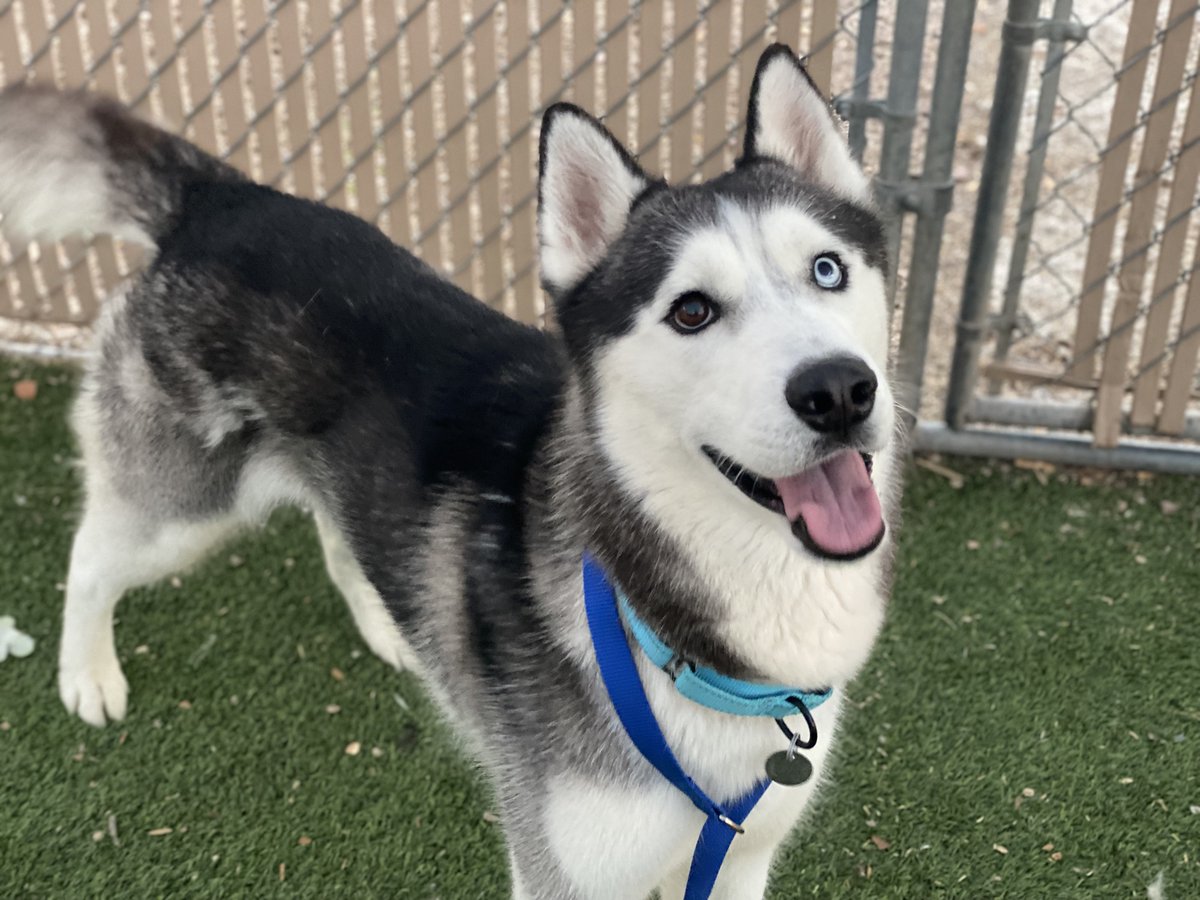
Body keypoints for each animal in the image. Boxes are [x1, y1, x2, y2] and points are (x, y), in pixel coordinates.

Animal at [0, 45, 902, 897]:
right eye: (692, 310)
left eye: (827, 268)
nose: (838, 390)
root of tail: (217, 197)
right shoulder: (564, 874)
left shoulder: (740, 857)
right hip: (182, 511)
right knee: (92, 556)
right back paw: (87, 675)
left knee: (338, 529)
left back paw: (386, 622)